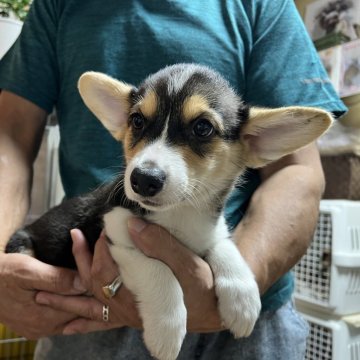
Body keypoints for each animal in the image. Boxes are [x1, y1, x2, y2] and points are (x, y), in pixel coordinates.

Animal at [5, 63, 334, 358]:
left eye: (202, 127)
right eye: (137, 121)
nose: (142, 179)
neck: (182, 212)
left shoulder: (208, 234)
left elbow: (225, 248)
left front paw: (243, 302)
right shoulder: (117, 237)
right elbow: (160, 270)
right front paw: (167, 332)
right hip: (24, 245)